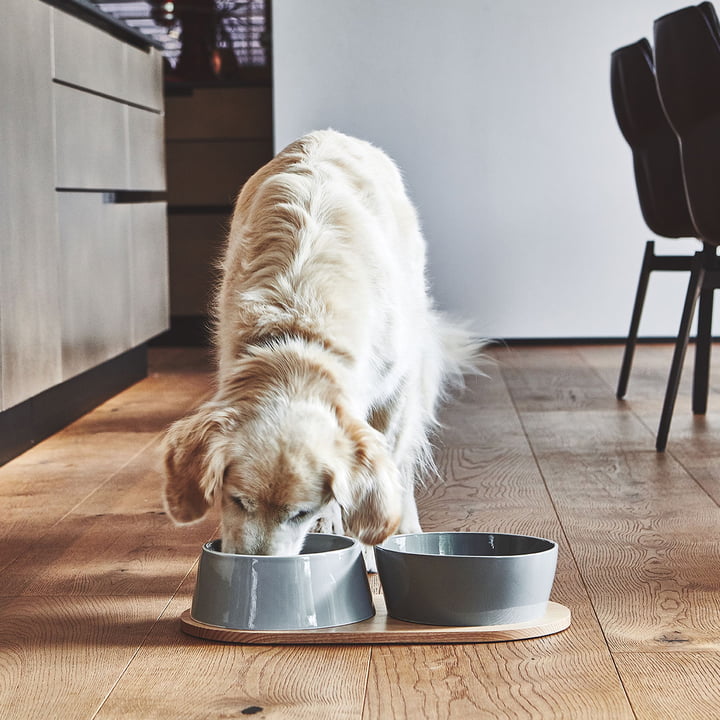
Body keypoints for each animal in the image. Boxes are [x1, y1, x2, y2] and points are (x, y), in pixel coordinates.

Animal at [163, 129, 484, 564]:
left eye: (299, 513)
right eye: (237, 500)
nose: (258, 567)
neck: (300, 330)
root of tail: (330, 134)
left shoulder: (395, 388)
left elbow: (389, 462)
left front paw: (376, 541)